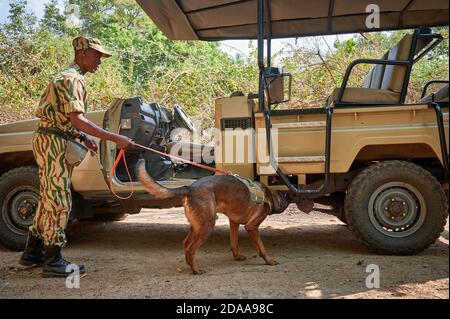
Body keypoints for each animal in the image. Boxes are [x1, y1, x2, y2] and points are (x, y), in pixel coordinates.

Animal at [136, 160, 288, 276]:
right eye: (284, 197)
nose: (288, 199)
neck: (268, 195)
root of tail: (190, 187)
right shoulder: (252, 227)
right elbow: (261, 247)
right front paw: (269, 261)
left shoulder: (234, 223)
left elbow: (234, 243)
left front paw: (237, 257)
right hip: (207, 227)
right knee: (191, 248)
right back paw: (196, 270)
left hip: (197, 226)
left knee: (186, 243)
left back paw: (189, 264)